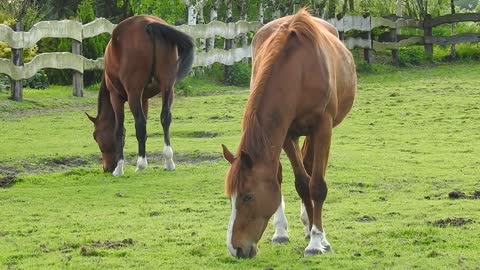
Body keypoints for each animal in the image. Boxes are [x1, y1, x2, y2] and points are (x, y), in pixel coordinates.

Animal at [86, 15, 193, 175]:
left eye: (95, 136)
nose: (107, 168)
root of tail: (148, 24)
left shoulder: (116, 97)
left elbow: (119, 129)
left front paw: (119, 167)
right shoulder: (144, 99)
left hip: (133, 93)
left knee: (140, 123)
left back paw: (140, 164)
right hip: (168, 87)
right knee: (165, 117)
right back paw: (168, 161)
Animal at [221, 8, 356, 258]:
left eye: (248, 196)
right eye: (230, 197)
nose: (236, 249)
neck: (299, 71)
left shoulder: (322, 128)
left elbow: (317, 185)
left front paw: (317, 241)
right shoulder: (285, 133)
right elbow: (301, 183)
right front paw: (311, 233)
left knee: (310, 167)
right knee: (285, 174)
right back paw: (282, 231)